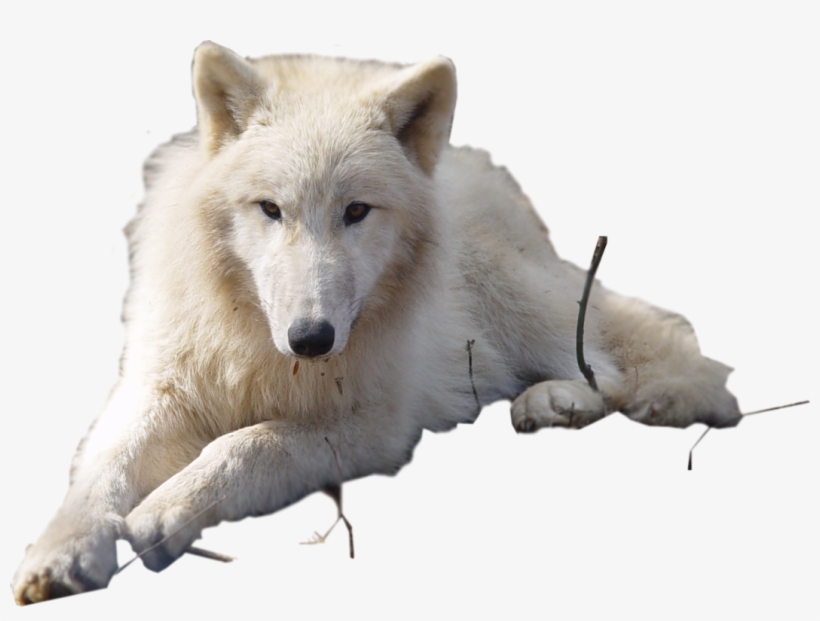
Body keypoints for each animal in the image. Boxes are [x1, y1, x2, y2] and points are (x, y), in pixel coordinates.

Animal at [12, 41, 741, 605]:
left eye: (356, 210)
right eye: (270, 208)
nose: (312, 338)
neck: (262, 348)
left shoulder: (377, 422)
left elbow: (250, 444)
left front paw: (166, 509)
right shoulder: (159, 387)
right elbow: (102, 467)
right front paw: (60, 553)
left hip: (504, 288)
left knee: (604, 364)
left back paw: (555, 400)